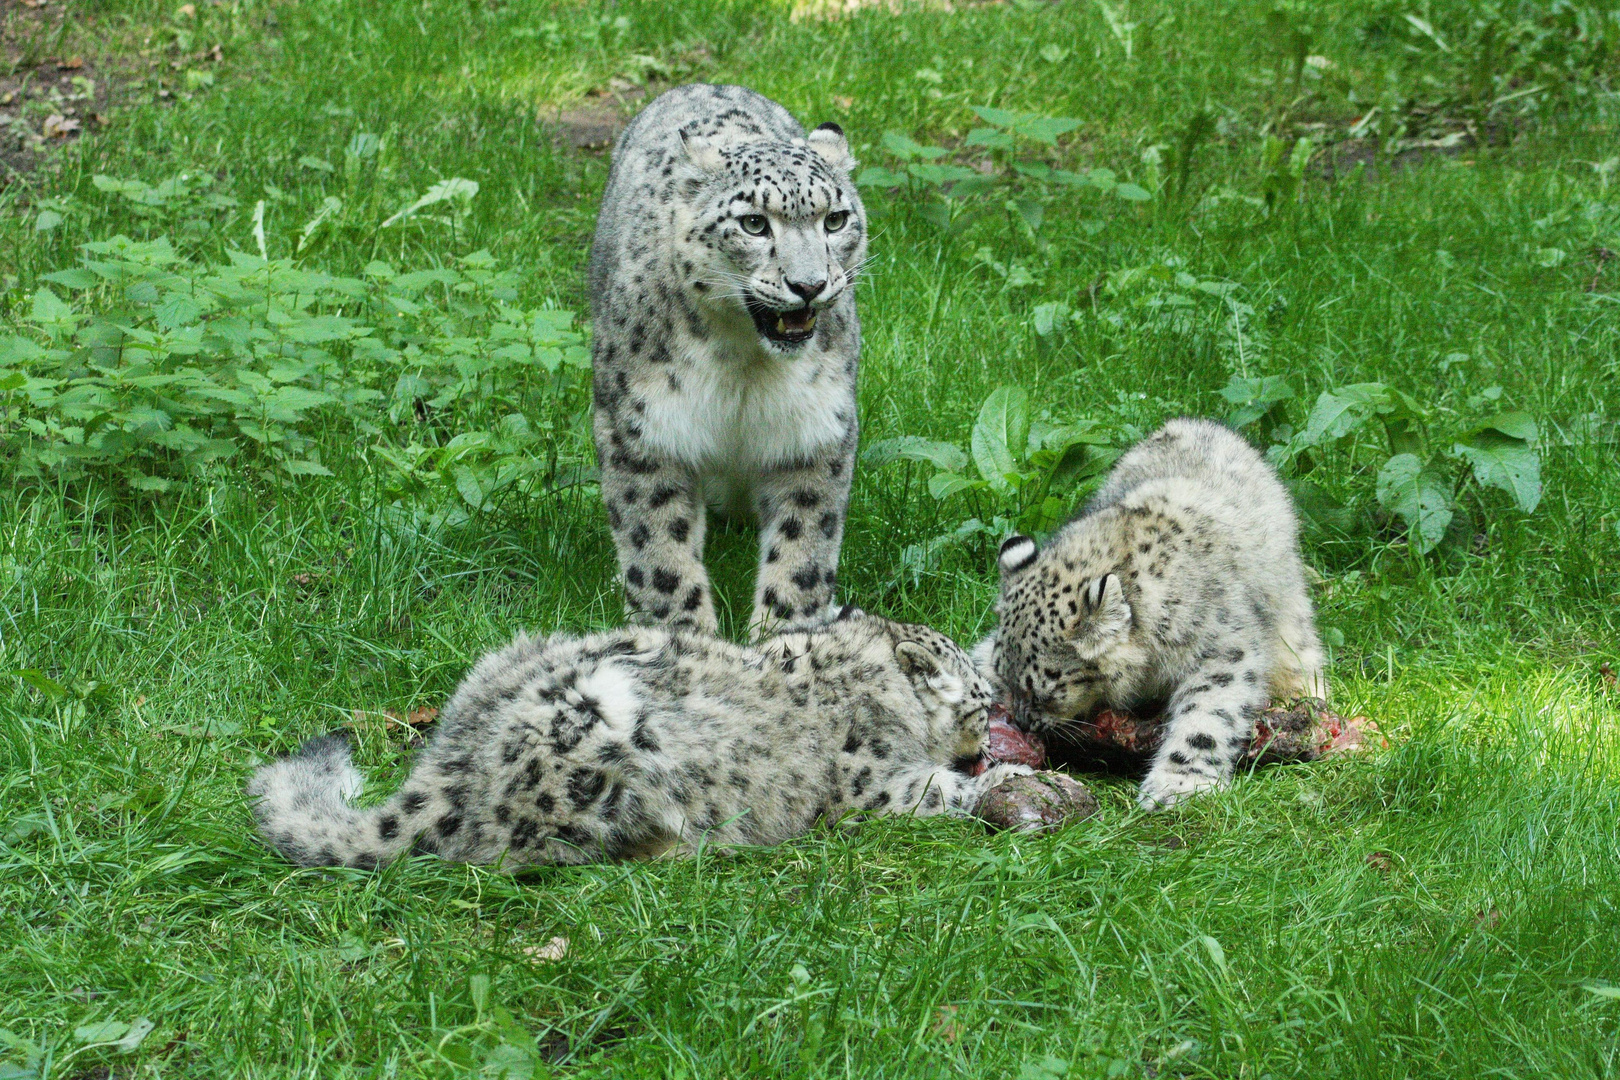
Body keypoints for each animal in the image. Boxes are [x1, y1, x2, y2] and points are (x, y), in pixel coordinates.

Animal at [243, 608, 1023, 867]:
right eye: (984, 704)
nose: (992, 740)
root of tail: (449, 769)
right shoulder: (870, 784)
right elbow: (930, 789)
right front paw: (1008, 785)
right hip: (602, 759)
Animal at [589, 86, 868, 641]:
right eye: (754, 223)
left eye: (835, 219)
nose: (809, 285)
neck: (744, 364)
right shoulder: (642, 429)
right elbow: (658, 547)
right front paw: (680, 635)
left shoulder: (817, 428)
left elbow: (804, 546)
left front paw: (785, 634)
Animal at [972, 420, 1328, 809]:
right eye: (1005, 678)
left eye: (1044, 694)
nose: (1022, 724)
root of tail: (1196, 422)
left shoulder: (1224, 651)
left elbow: (1207, 715)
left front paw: (1179, 784)